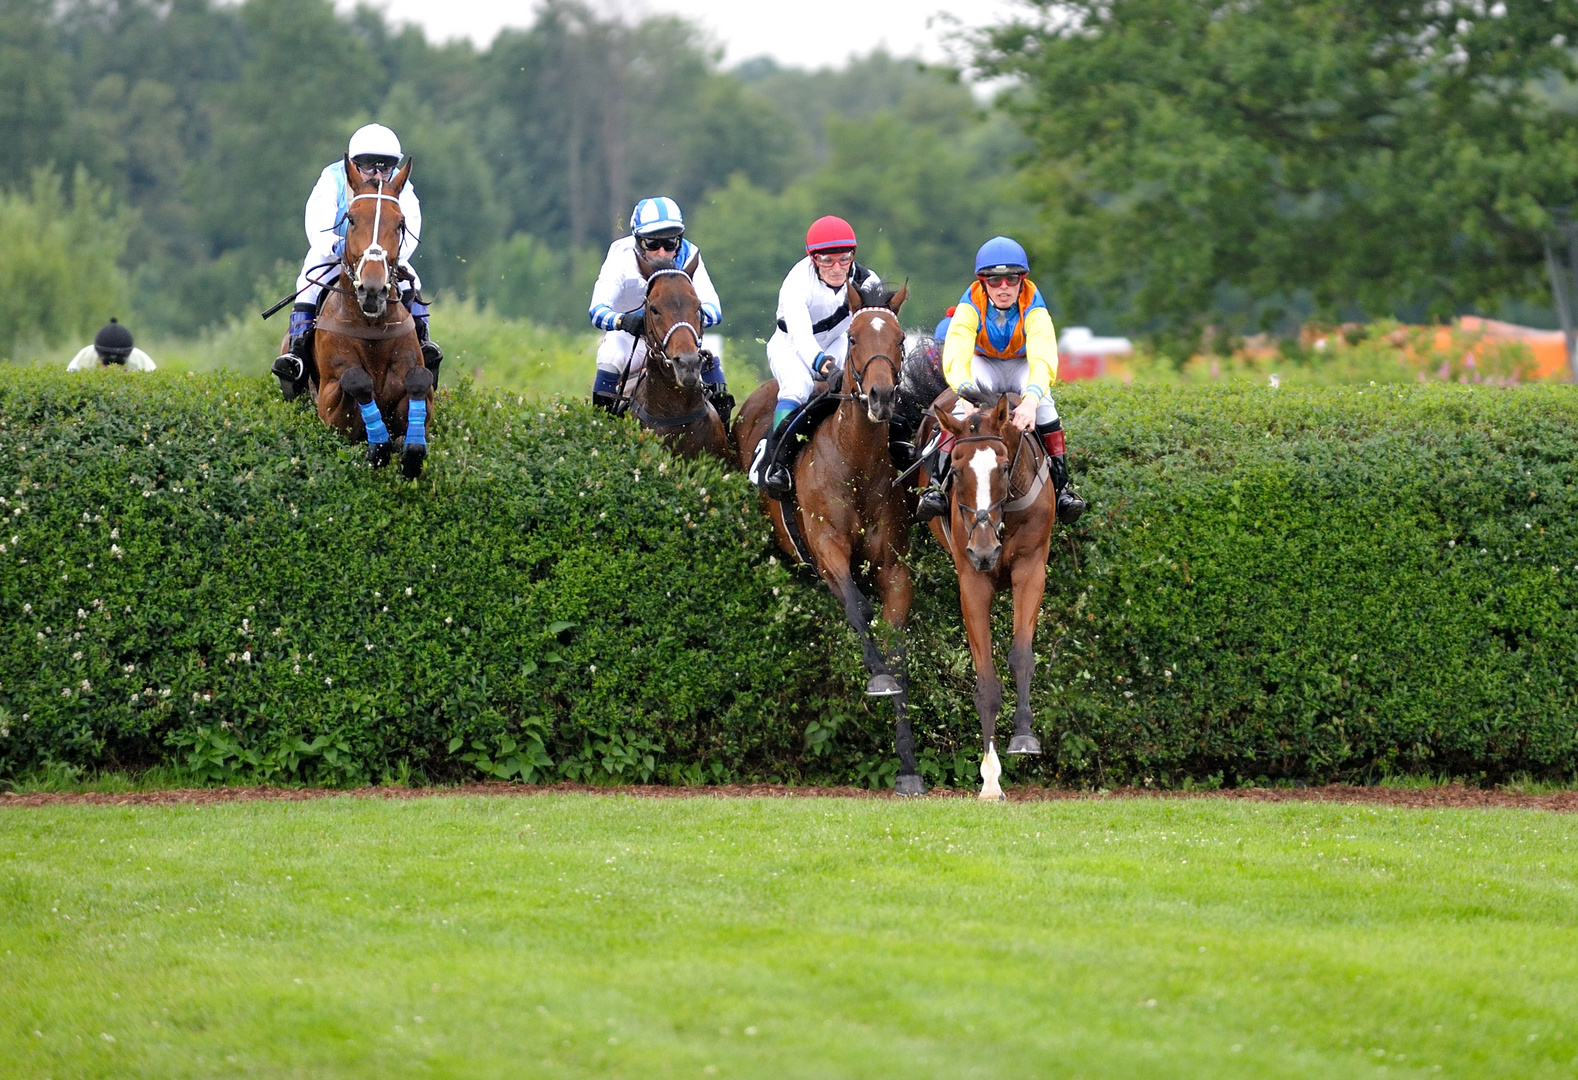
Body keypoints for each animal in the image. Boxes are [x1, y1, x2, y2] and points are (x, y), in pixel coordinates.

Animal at [735, 282, 927, 795]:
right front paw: (878, 678)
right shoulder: (827, 553)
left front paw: (908, 766)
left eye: (900, 339)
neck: (855, 463)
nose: (881, 396)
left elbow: (898, 645)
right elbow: (858, 610)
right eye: (855, 339)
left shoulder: (894, 567)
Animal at [921, 391, 1060, 795]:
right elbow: (985, 680)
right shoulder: (972, 580)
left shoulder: (1031, 568)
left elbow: (1022, 656)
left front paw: (1024, 736)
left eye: (1002, 467)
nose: (985, 552)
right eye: (955, 467)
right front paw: (990, 780)